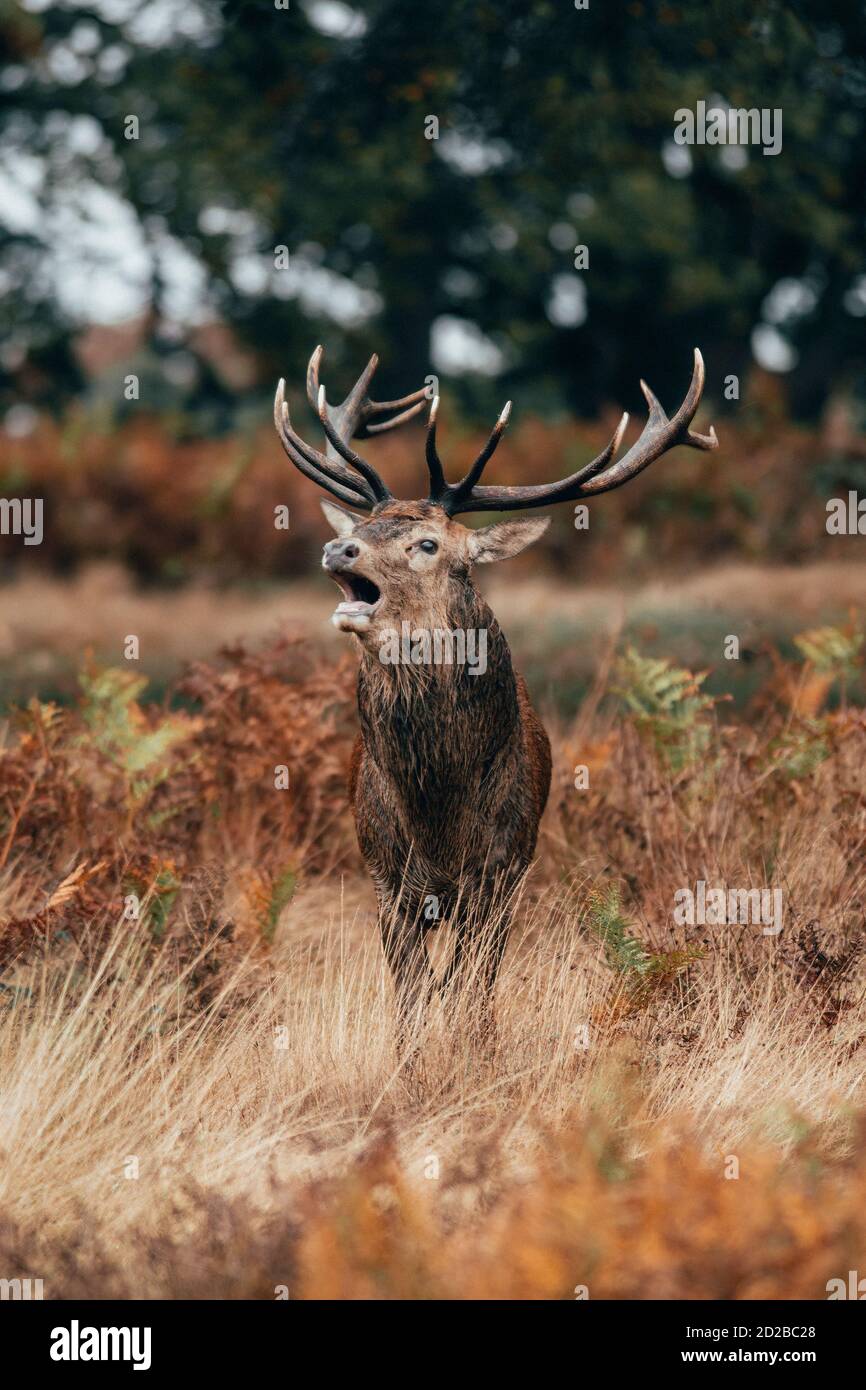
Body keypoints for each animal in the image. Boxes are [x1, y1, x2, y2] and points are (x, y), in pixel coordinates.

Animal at [274, 346, 717, 1045]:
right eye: (367, 525)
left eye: (427, 544)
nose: (337, 546)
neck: (439, 814)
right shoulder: (385, 876)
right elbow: (411, 1000)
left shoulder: (502, 873)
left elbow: (472, 991)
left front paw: (471, 1052)